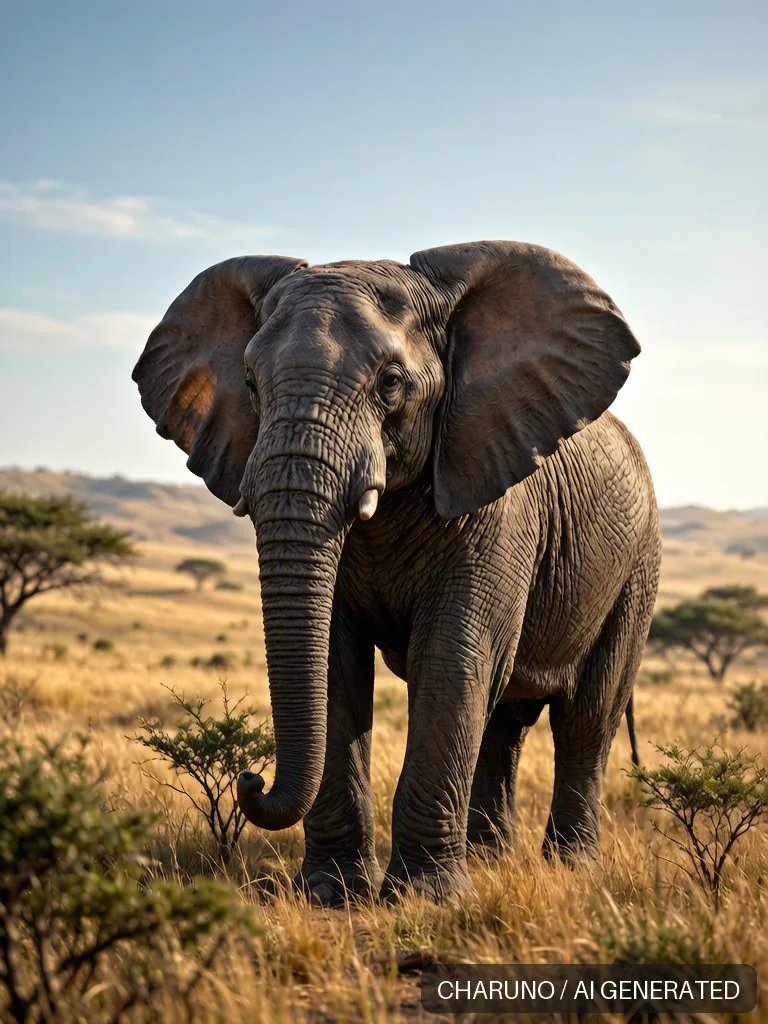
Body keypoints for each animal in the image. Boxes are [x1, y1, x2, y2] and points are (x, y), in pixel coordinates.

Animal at [133, 240, 660, 903]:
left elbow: (452, 660)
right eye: (250, 382)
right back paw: (489, 859)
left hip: (637, 569)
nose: (251, 779)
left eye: (390, 383)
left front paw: (427, 899)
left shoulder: (497, 497)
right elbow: (337, 663)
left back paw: (569, 870)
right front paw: (331, 894)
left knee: (586, 717)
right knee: (505, 720)